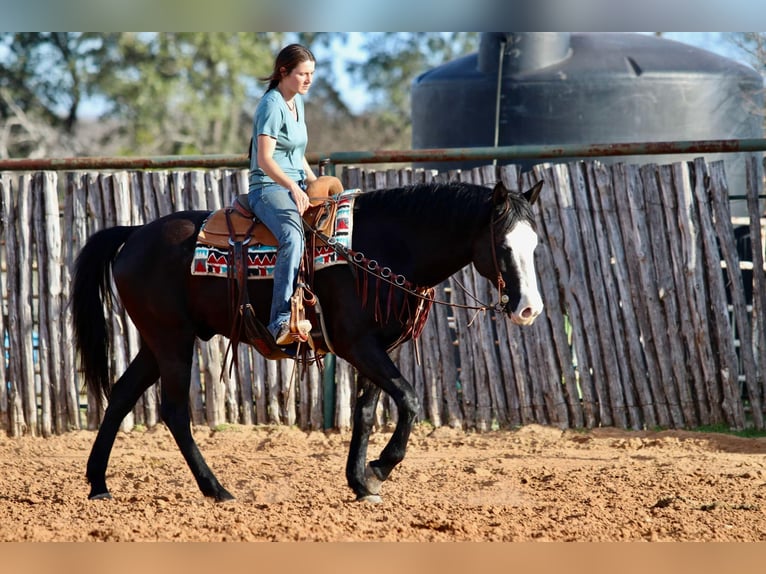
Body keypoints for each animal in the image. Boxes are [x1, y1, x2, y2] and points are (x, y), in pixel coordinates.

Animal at [72, 180, 544, 504]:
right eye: (503, 245)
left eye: (535, 243)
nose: (529, 309)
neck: (382, 249)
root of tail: (134, 233)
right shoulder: (358, 344)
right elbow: (408, 399)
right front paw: (379, 468)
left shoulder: (377, 348)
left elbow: (366, 411)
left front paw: (360, 482)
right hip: (173, 339)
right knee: (174, 411)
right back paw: (217, 490)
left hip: (157, 342)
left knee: (121, 395)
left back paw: (99, 484)